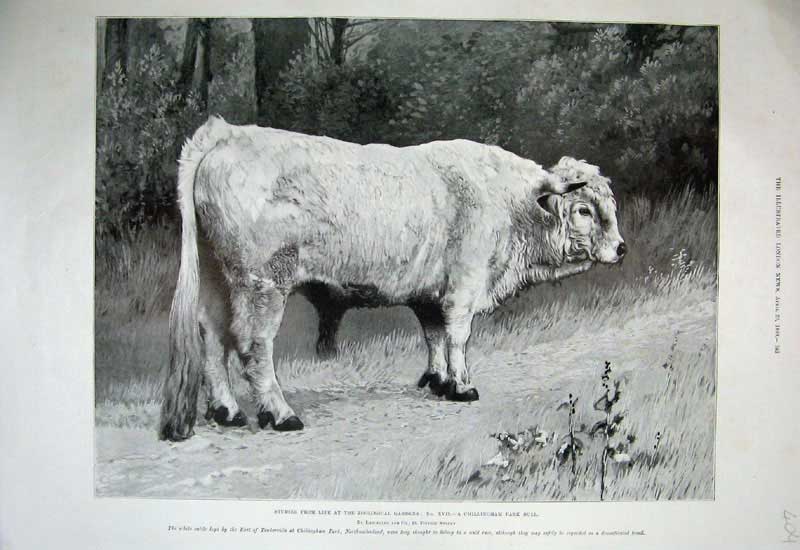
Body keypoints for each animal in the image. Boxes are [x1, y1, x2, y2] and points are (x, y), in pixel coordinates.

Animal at [159, 116, 625, 441]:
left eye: (611, 206)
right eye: (584, 210)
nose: (621, 248)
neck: (509, 203)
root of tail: (227, 133)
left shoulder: (430, 293)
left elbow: (434, 336)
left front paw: (438, 381)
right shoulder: (464, 285)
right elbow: (457, 336)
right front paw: (463, 387)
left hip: (216, 277)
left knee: (212, 336)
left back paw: (227, 410)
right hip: (263, 283)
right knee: (253, 345)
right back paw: (279, 413)